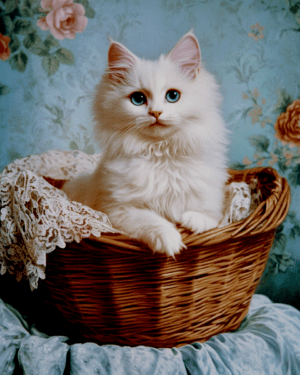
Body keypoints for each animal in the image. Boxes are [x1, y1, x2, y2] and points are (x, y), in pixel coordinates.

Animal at [62, 30, 227, 258]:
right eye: (138, 99)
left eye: (172, 96)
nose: (155, 112)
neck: (161, 154)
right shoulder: (117, 209)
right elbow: (152, 220)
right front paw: (171, 242)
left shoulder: (212, 201)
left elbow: (209, 217)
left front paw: (192, 221)